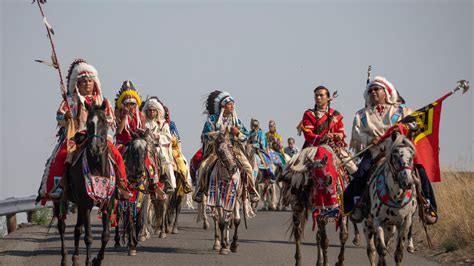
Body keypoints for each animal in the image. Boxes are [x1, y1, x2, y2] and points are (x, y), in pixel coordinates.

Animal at [62, 101, 117, 264]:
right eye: (88, 123)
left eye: (105, 122)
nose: (95, 147)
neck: (97, 168)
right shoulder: (86, 204)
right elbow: (89, 237)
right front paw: (88, 261)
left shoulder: (107, 204)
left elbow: (105, 235)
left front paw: (97, 259)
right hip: (62, 199)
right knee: (62, 227)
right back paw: (65, 258)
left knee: (77, 228)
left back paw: (75, 257)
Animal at [362, 131, 416, 266]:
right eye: (395, 155)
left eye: (411, 155)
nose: (407, 182)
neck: (396, 198)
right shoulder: (378, 222)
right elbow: (381, 250)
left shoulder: (405, 223)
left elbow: (398, 253)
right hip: (368, 225)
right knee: (371, 250)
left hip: (390, 228)